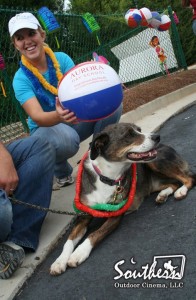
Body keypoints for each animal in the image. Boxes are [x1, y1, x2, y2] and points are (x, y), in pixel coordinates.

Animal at [49, 122, 195, 276]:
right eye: (129, 134)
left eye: (139, 130)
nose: (157, 136)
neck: (107, 177)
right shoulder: (83, 216)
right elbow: (69, 241)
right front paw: (59, 261)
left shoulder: (115, 216)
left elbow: (95, 233)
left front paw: (79, 253)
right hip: (154, 180)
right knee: (173, 183)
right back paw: (163, 195)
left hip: (157, 162)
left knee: (189, 178)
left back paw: (181, 191)